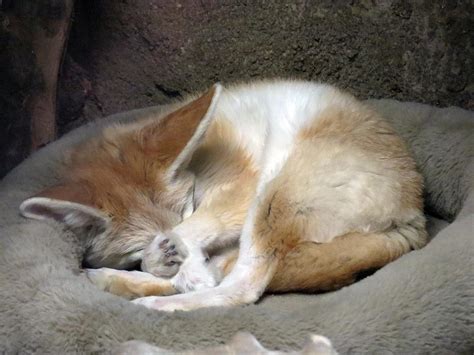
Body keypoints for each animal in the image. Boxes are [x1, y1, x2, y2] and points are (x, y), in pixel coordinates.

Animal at [18, 80, 428, 312]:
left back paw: (158, 303)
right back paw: (115, 281)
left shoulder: (241, 190)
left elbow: (189, 240)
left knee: (242, 288)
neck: (201, 162)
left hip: (273, 197)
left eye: (191, 206)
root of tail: (415, 215)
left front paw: (174, 260)